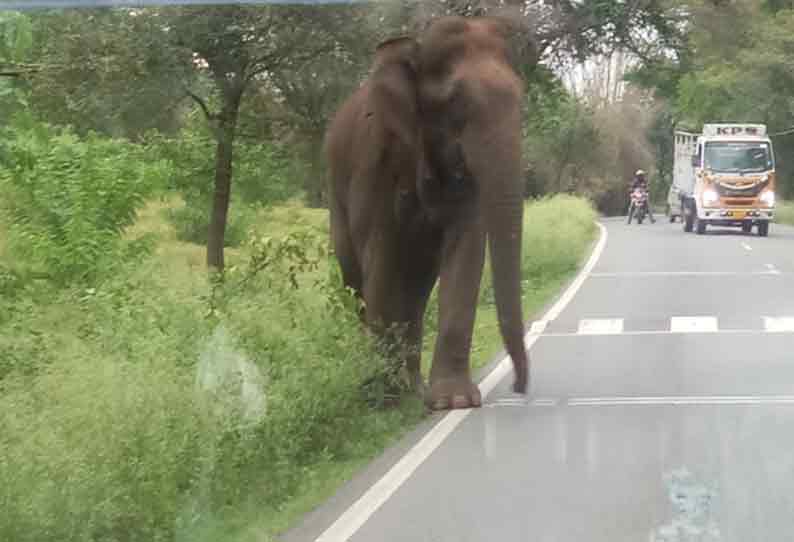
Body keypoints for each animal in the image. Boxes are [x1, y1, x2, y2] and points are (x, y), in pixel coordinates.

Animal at [322, 14, 524, 410]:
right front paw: (385, 400)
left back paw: (414, 387)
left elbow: (466, 251)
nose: (518, 387)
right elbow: (380, 258)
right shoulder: (375, 160)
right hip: (336, 199)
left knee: (417, 289)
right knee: (358, 280)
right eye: (456, 102)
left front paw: (452, 401)